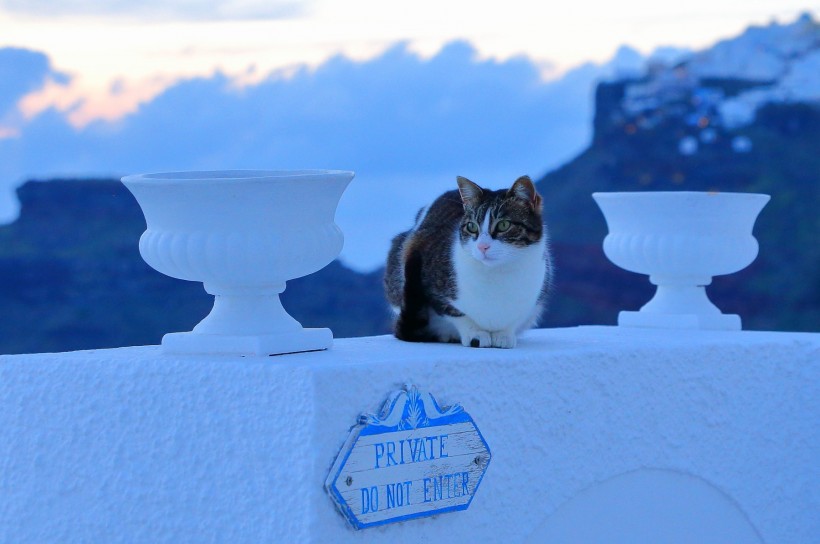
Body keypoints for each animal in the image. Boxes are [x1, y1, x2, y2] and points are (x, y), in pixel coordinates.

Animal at [382, 176, 552, 350]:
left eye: (504, 225)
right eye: (472, 226)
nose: (482, 246)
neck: (497, 274)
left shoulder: (536, 295)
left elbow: (516, 317)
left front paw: (504, 334)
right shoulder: (429, 278)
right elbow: (457, 314)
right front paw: (475, 334)